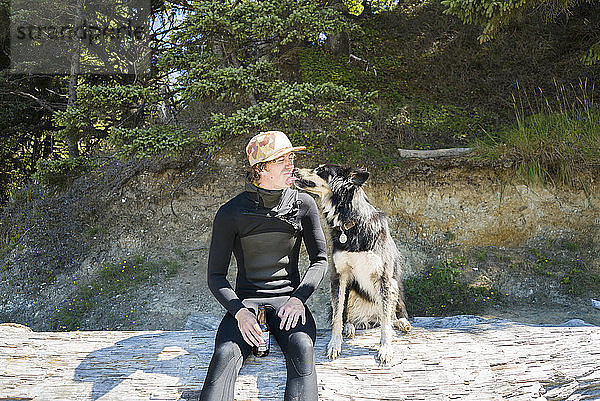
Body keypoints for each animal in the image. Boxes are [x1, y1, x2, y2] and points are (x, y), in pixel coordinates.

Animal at [292, 164, 410, 364]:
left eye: (321, 170)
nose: (294, 170)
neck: (351, 222)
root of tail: (370, 318)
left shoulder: (384, 277)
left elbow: (386, 320)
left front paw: (385, 348)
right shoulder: (339, 276)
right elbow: (337, 314)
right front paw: (334, 344)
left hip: (393, 285)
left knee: (389, 313)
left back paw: (400, 321)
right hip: (352, 289)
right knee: (348, 314)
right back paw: (349, 327)